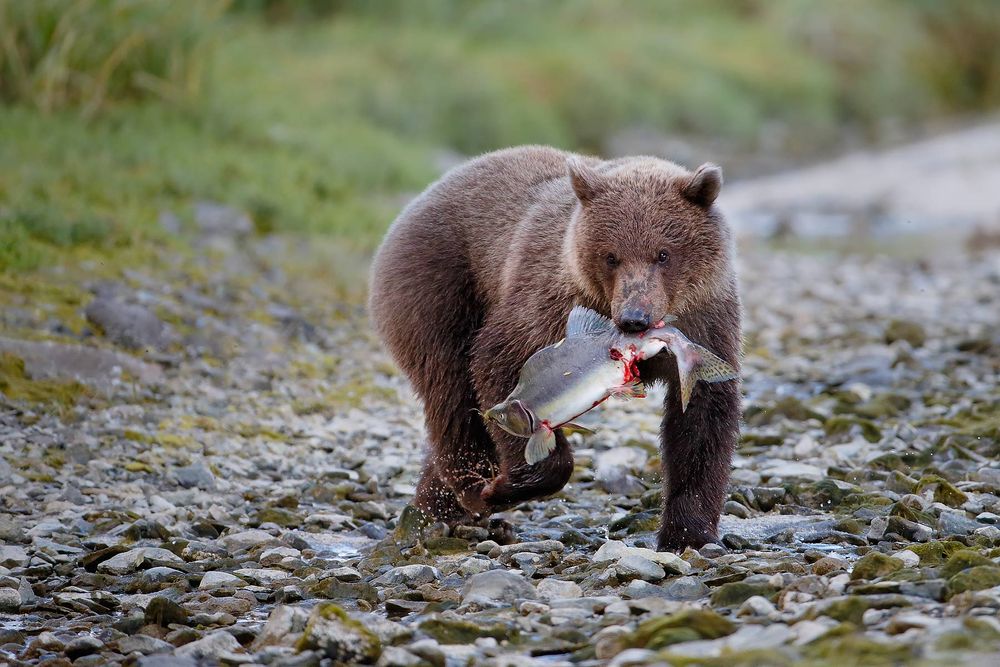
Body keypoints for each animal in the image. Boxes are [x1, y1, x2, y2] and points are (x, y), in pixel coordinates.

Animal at [369, 146, 741, 550]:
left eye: (664, 253)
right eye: (611, 256)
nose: (634, 318)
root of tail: (419, 200)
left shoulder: (707, 322)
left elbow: (701, 419)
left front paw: (688, 532)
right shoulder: (548, 302)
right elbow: (500, 359)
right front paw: (513, 482)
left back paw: (436, 509)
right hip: (440, 289)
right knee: (453, 397)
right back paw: (472, 489)